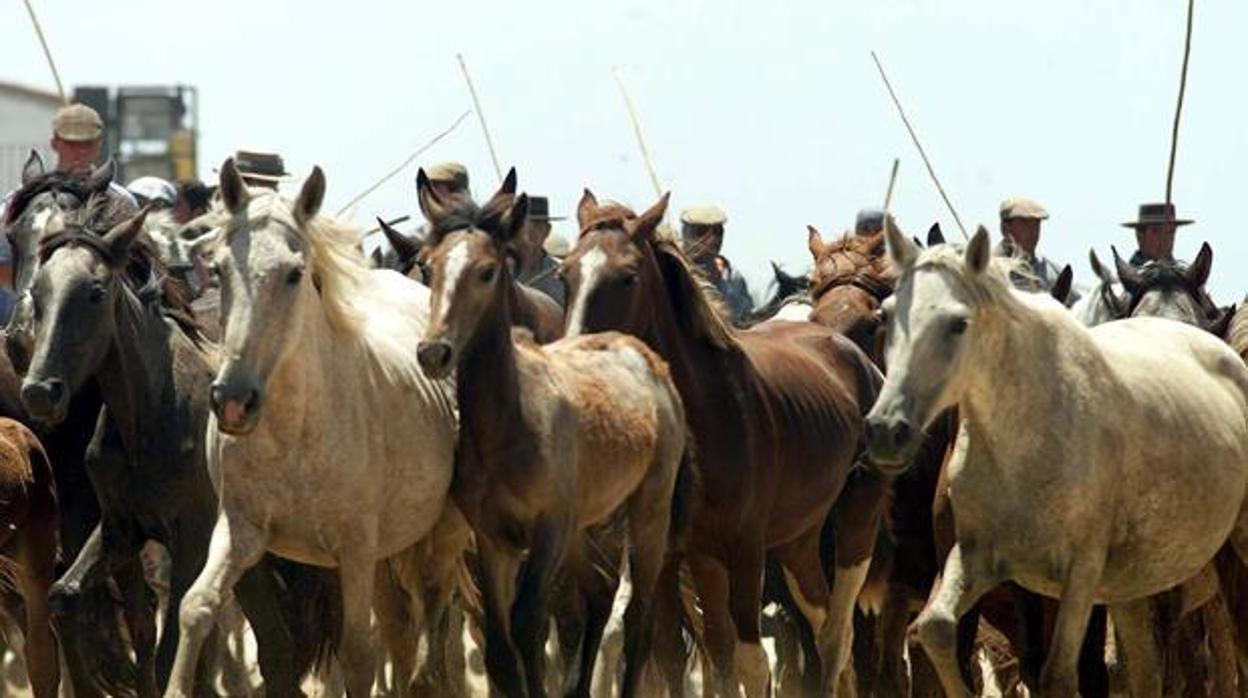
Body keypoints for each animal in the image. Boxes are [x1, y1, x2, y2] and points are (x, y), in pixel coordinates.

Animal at [163, 161, 461, 694]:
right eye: (218, 269)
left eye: (294, 273)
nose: (233, 401)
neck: (295, 434)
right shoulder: (241, 530)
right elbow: (196, 608)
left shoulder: (355, 549)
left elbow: (358, 654)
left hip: (434, 541)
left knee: (431, 629)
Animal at [419, 177, 693, 694]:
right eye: (428, 266)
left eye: (487, 271)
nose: (433, 352)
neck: (508, 424)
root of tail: (648, 358)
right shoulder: (493, 537)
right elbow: (502, 647)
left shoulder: (548, 529)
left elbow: (528, 623)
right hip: (582, 531)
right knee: (598, 597)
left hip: (648, 512)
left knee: (639, 621)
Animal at [561, 192, 883, 698]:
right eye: (565, 275)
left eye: (628, 276)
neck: (708, 414)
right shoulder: (679, 552)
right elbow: (695, 649)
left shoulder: (745, 548)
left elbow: (750, 661)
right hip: (796, 541)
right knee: (816, 617)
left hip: (856, 524)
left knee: (835, 633)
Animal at [868, 224, 1248, 698]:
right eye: (886, 314)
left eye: (958, 323)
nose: (887, 429)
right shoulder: (976, 557)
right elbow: (936, 630)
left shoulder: (1081, 574)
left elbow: (1061, 674)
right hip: (1132, 588)